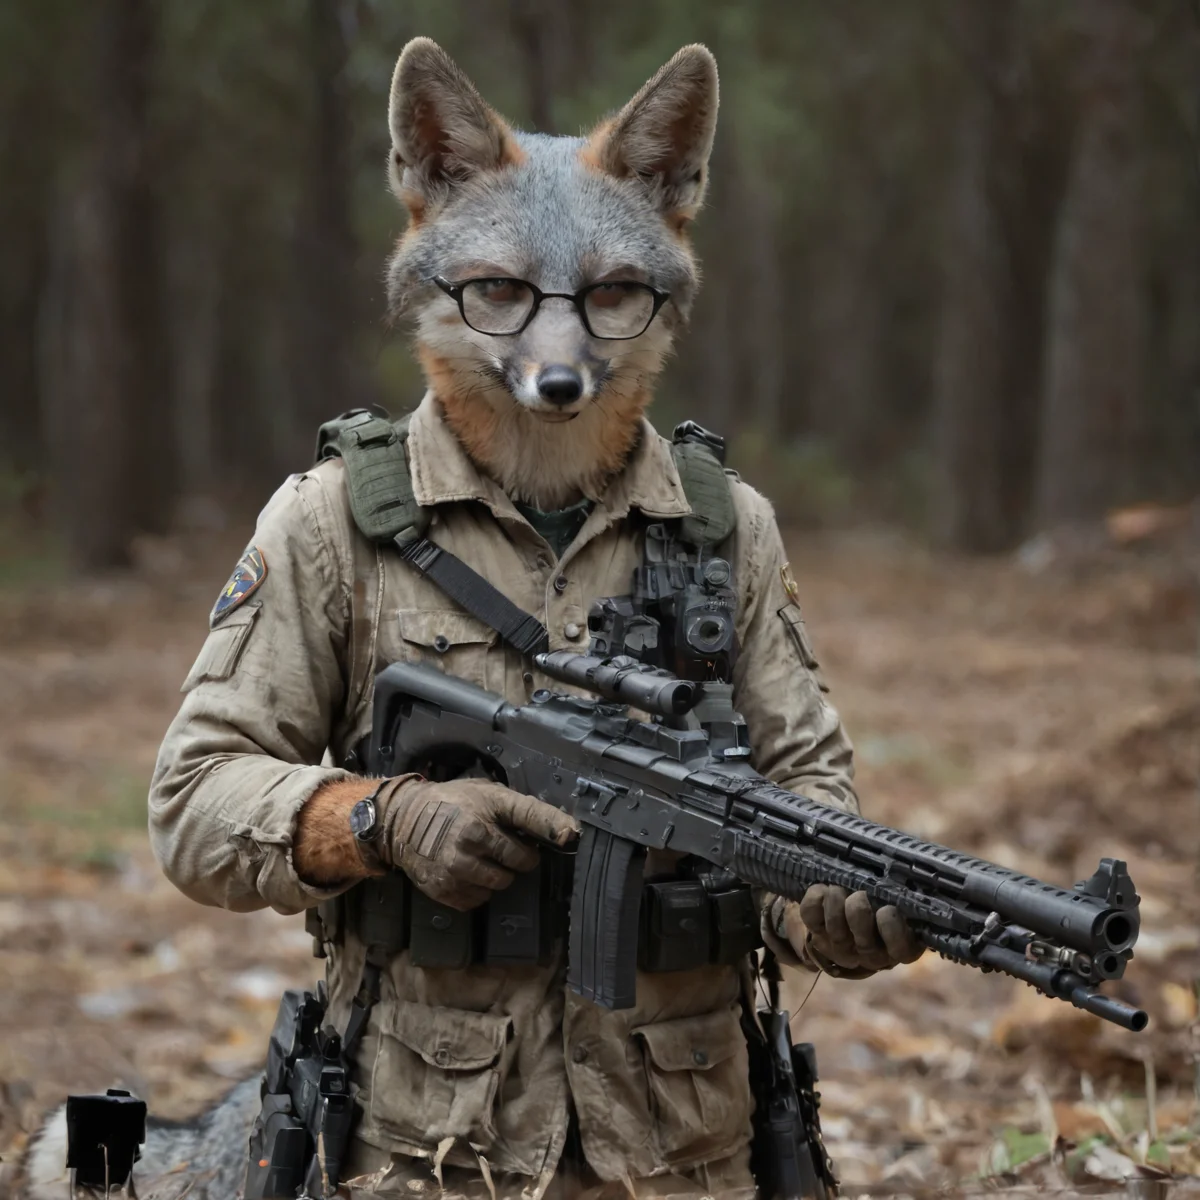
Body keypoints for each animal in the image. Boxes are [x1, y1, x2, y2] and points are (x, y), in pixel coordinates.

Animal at [18, 35, 720, 1200]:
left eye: (613, 294)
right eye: (500, 293)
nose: (561, 384)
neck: (542, 494)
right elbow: (216, 769)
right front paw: (437, 821)